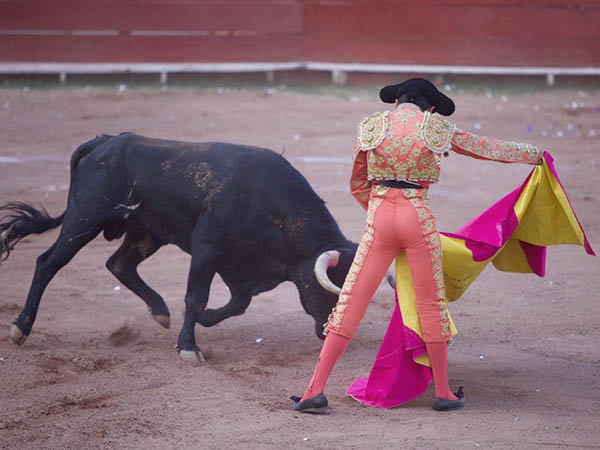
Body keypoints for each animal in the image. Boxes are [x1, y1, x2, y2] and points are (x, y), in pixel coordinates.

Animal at [0, 133, 390, 362]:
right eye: (330, 290)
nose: (327, 333)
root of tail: (105, 141)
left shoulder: (243, 268)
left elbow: (237, 303)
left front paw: (204, 321)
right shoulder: (207, 248)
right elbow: (195, 296)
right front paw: (189, 347)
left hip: (146, 231)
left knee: (120, 264)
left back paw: (160, 311)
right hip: (84, 218)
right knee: (48, 262)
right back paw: (21, 328)